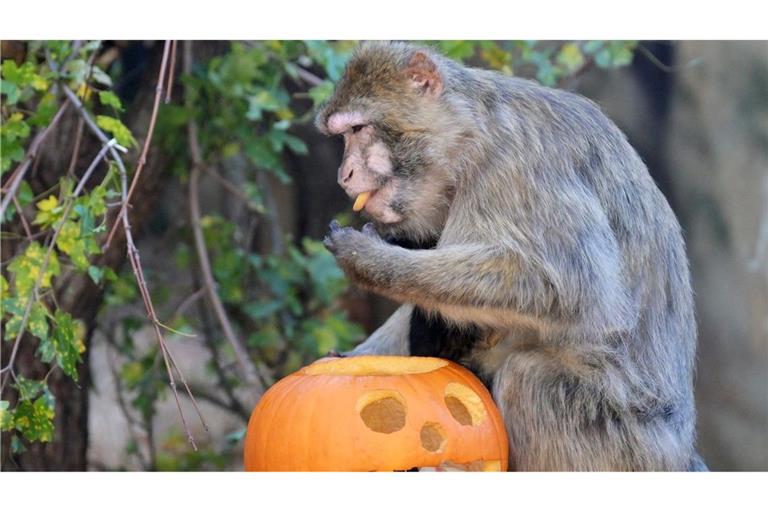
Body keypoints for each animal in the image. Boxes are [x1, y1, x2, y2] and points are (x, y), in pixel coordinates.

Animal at [316, 42, 704, 470]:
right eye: (342, 135)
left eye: (358, 129)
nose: (344, 175)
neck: (470, 133)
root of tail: (679, 454)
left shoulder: (517, 166)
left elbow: (569, 288)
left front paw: (369, 261)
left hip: (621, 446)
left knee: (528, 377)